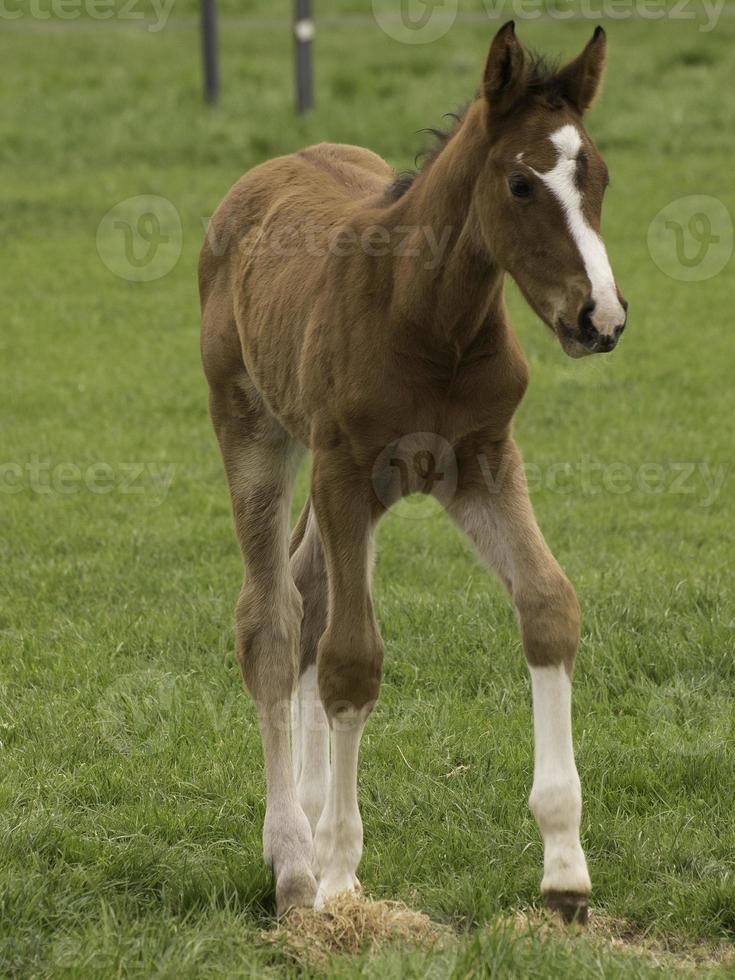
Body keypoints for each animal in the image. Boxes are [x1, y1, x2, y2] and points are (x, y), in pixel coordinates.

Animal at [200, 24, 628, 928]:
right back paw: (293, 862)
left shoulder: (483, 465)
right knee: (272, 619)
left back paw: (303, 824)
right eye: (519, 183)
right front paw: (337, 880)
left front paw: (565, 871)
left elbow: (548, 607)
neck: (426, 316)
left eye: (597, 177)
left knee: (306, 592)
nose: (598, 319)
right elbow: (351, 659)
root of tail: (265, 169)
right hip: (256, 428)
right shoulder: (343, 470)